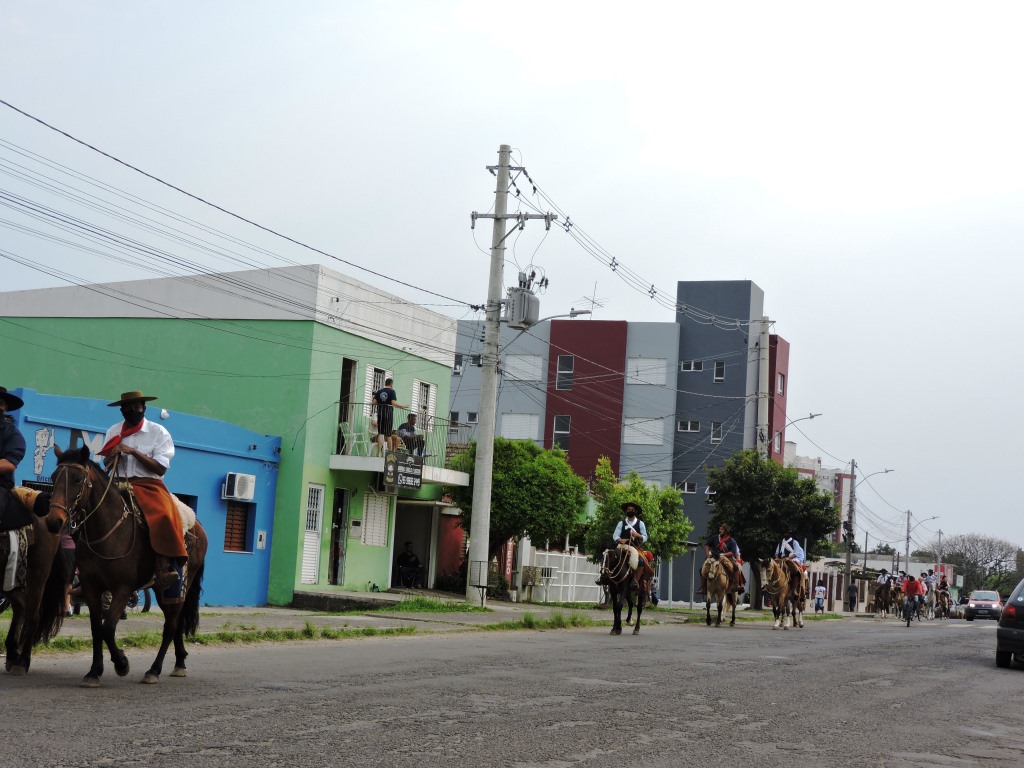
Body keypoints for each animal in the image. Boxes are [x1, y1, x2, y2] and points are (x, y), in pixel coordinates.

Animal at [46, 448, 207, 688]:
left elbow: (108, 628)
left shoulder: (123, 589)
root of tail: (197, 525)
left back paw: (154, 670)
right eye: (54, 477)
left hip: (180, 586)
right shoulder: (91, 587)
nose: (53, 521)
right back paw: (179, 663)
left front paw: (121, 663)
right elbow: (97, 630)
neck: (109, 531)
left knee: (170, 626)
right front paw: (94, 672)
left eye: (77, 479)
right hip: (163, 590)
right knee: (176, 623)